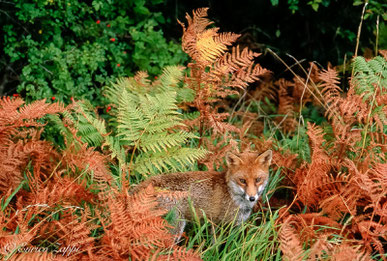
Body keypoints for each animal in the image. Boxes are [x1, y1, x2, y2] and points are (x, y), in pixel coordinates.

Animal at [130, 149, 272, 237]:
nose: (252, 198)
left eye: (258, 180)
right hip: (175, 227)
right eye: (242, 181)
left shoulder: (234, 226)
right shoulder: (217, 225)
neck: (231, 192)